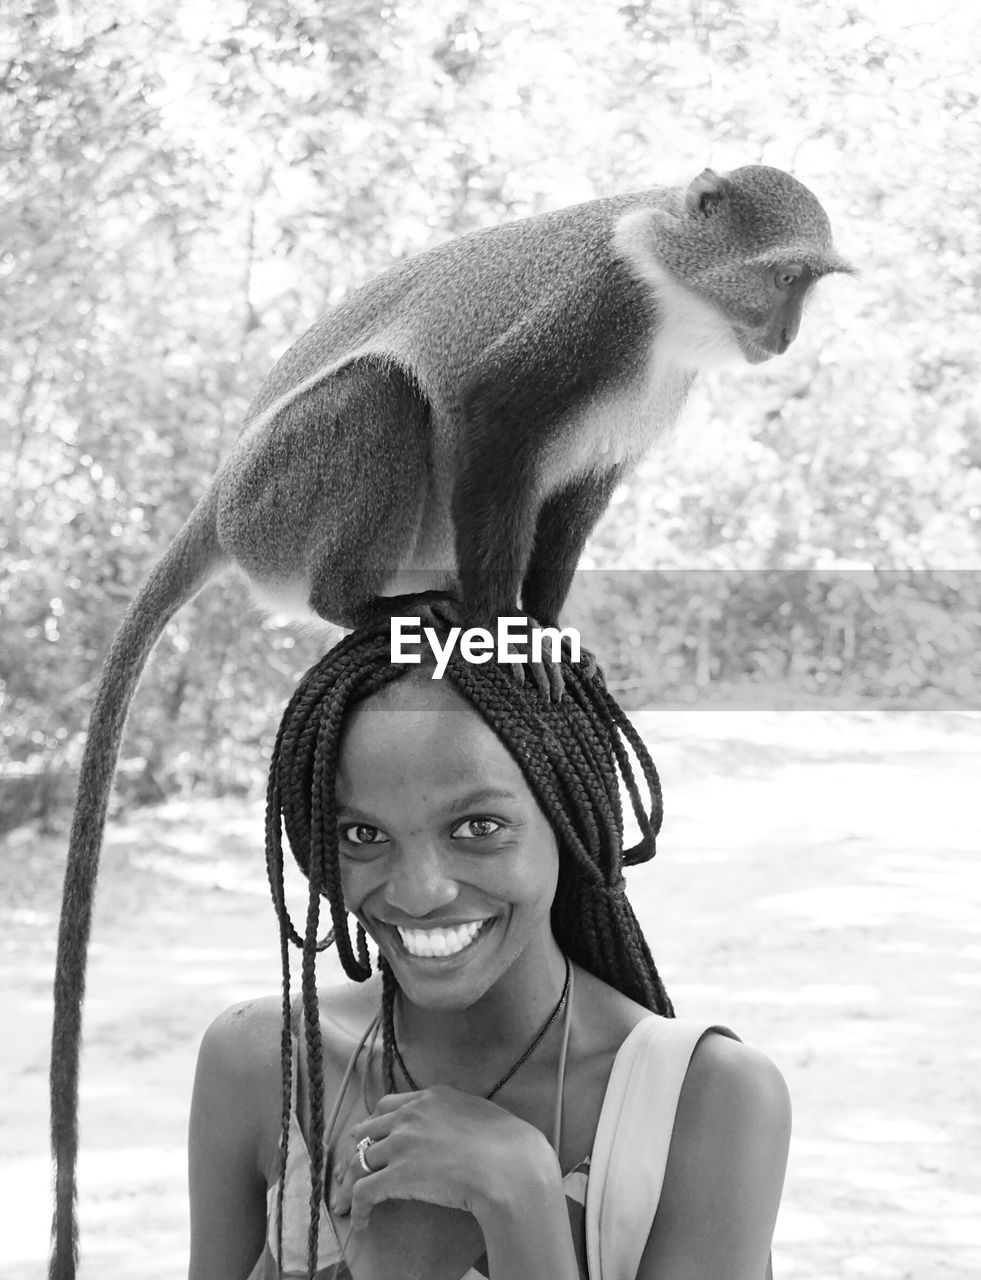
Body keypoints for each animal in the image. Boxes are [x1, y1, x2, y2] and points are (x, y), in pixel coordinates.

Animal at [49, 165, 855, 1274]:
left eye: (806, 286)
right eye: (779, 277)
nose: (782, 334)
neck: (665, 286)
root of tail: (218, 502)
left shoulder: (620, 431)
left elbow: (573, 497)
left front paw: (545, 631)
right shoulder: (584, 324)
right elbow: (480, 421)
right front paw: (498, 631)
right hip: (286, 498)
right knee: (385, 394)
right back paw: (365, 604)